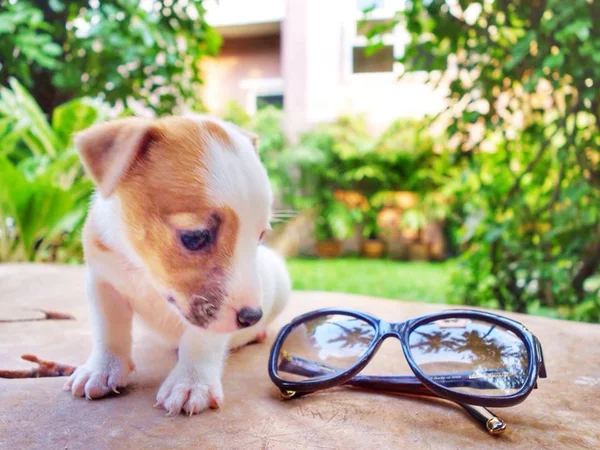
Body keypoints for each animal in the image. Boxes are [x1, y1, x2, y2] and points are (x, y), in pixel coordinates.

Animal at [64, 113, 290, 414]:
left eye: (261, 236)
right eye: (195, 237)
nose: (253, 316)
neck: (143, 269)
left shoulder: (207, 314)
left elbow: (200, 340)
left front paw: (191, 382)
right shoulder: (103, 283)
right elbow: (109, 331)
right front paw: (102, 369)